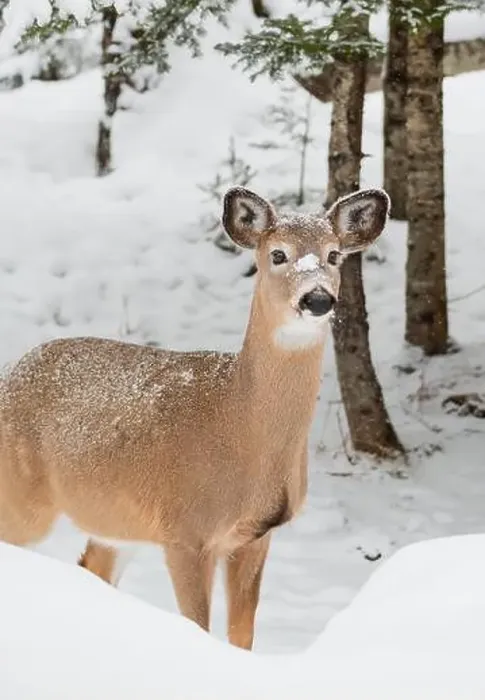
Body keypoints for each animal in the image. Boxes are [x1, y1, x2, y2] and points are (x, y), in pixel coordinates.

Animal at [0, 185, 390, 650]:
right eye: (278, 254)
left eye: (333, 255)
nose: (317, 299)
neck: (240, 425)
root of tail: (9, 372)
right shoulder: (185, 531)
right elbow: (198, 626)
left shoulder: (256, 536)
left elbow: (241, 635)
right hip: (20, 498)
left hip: (115, 521)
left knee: (92, 567)